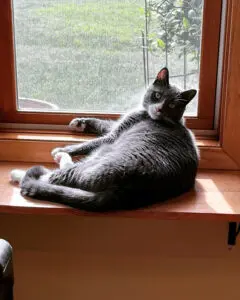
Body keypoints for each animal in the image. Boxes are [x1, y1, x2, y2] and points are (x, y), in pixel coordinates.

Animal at [10, 67, 199, 212]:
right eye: (158, 95)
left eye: (172, 105)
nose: (159, 109)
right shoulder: (118, 125)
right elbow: (105, 123)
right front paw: (79, 123)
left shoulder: (114, 135)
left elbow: (95, 140)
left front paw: (64, 148)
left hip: (101, 159)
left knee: (55, 176)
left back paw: (27, 170)